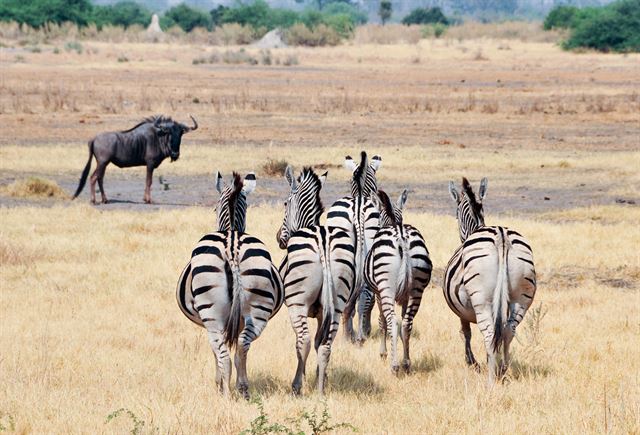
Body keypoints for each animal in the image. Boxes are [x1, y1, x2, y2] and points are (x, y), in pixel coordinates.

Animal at [176, 172, 284, 400]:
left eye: (214, 209)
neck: (231, 228)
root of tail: (232, 247)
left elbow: (215, 353)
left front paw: (217, 383)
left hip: (211, 314)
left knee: (223, 354)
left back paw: (224, 393)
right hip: (258, 307)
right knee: (242, 346)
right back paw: (243, 388)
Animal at [276, 166, 356, 396]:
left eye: (285, 204)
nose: (279, 239)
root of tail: (323, 242)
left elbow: (299, 344)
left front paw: (303, 376)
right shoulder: (322, 311)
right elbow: (320, 342)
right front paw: (321, 375)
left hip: (297, 303)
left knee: (304, 340)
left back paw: (296, 386)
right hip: (337, 302)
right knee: (326, 344)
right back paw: (321, 390)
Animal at [364, 189, 430, 372]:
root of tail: (401, 236)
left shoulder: (378, 294)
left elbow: (382, 322)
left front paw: (383, 353)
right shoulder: (405, 297)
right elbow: (402, 325)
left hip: (386, 288)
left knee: (392, 322)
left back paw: (394, 365)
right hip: (417, 289)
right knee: (407, 323)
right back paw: (406, 363)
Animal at [444, 178, 540, 384]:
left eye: (456, 216)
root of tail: (501, 236)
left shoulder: (462, 311)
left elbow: (466, 333)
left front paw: (472, 363)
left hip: (482, 299)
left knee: (489, 334)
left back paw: (491, 378)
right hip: (522, 296)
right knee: (508, 331)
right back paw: (502, 370)